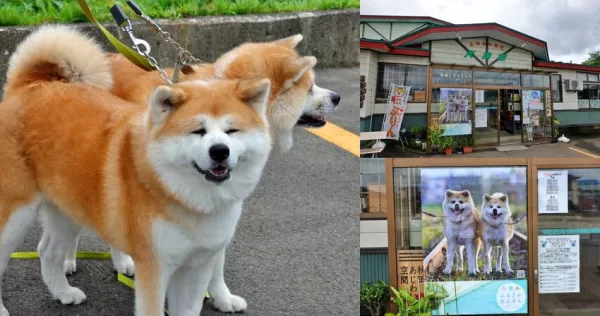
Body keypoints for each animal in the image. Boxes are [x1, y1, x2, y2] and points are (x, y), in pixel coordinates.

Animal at [0, 24, 276, 316]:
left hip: (66, 210)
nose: (220, 151)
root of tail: (28, 86)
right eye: (197, 131)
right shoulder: (154, 268)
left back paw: (63, 292)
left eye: (232, 130)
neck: (184, 196)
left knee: (47, 251)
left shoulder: (198, 265)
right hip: (14, 216)